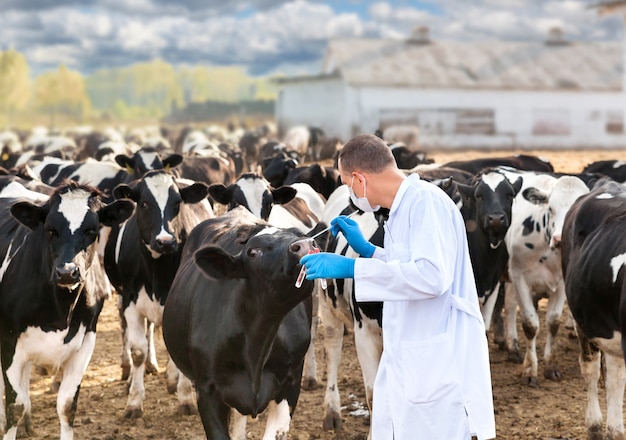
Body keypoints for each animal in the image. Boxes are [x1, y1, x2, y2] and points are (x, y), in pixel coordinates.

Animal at [0, 180, 135, 438]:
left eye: (92, 231)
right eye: (51, 230)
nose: (67, 272)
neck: (60, 312)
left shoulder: (86, 341)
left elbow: (67, 406)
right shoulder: (8, 342)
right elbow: (14, 406)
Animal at [103, 170, 213, 418]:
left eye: (177, 203)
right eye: (144, 203)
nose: (166, 241)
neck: (157, 272)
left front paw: (185, 398)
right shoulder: (131, 302)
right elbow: (138, 351)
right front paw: (134, 403)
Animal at [500, 171, 588, 384]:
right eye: (550, 208)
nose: (560, 239)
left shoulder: (562, 283)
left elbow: (553, 322)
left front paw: (551, 366)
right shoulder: (519, 277)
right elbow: (530, 325)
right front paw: (530, 370)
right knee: (510, 306)